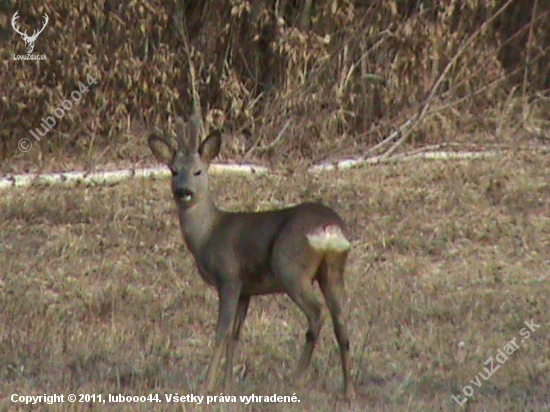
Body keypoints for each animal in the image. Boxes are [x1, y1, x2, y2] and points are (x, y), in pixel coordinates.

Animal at [148, 115, 358, 400]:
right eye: (173, 170)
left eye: (198, 171)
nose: (183, 191)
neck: (208, 234)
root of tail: (329, 228)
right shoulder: (246, 290)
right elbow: (236, 334)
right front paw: (228, 385)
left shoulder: (229, 278)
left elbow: (221, 332)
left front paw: (208, 386)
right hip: (333, 269)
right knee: (342, 322)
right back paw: (349, 392)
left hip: (290, 268)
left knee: (316, 314)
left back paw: (297, 379)